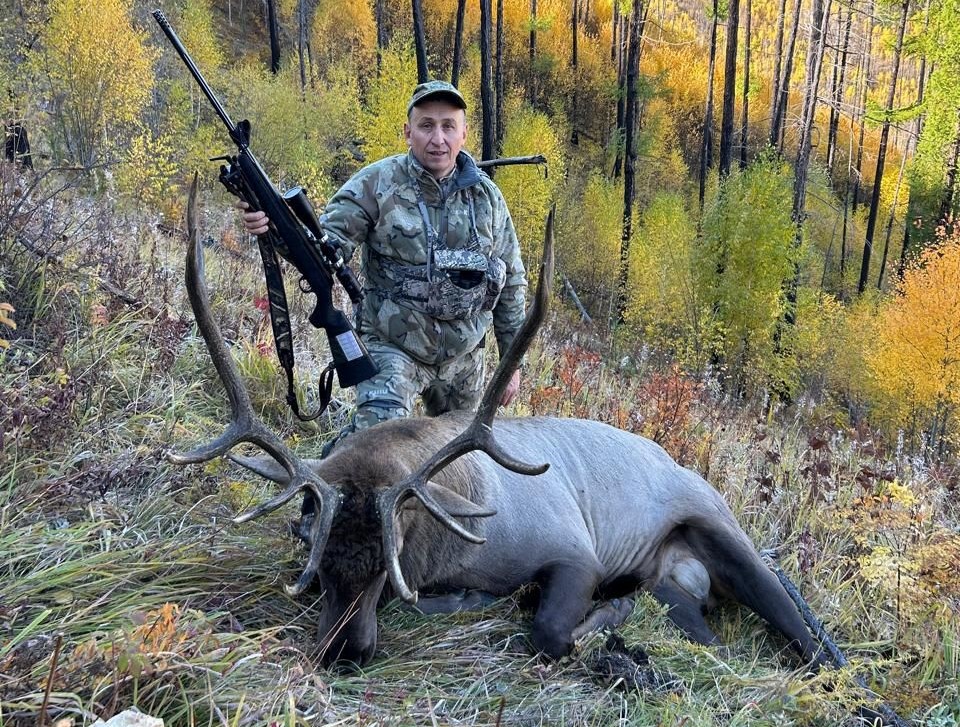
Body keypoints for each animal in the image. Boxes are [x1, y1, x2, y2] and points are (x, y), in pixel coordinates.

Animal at [169, 180, 829, 673]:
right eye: (318, 559)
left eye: (387, 564)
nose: (342, 652)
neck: (454, 542)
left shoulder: (574, 550)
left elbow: (550, 631)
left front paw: (598, 617)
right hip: (678, 587)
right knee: (705, 633)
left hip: (720, 527)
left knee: (810, 641)